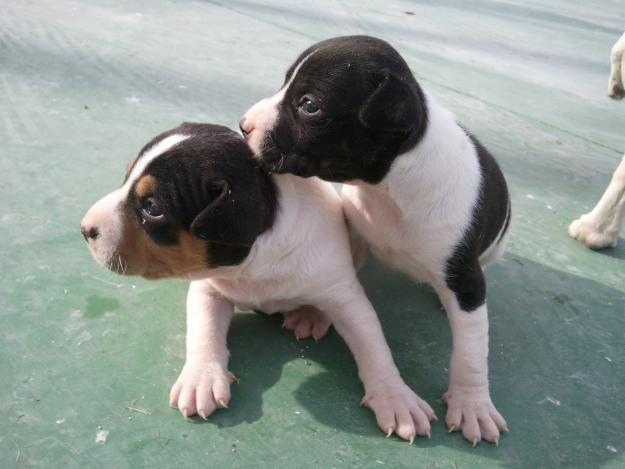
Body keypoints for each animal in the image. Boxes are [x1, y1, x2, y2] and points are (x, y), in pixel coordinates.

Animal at [80, 121, 436, 442]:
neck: (253, 263)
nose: (84, 229)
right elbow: (203, 332)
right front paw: (201, 377)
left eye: (152, 208)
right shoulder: (208, 289)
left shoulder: (345, 296)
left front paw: (395, 396)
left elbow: (374, 345)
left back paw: (310, 315)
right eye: (126, 176)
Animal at [241, 36, 510, 446]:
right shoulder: (353, 232)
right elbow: (340, 278)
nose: (243, 126)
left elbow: (471, 351)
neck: (390, 188)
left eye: (309, 105)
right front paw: (314, 312)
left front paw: (473, 404)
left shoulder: (465, 281)